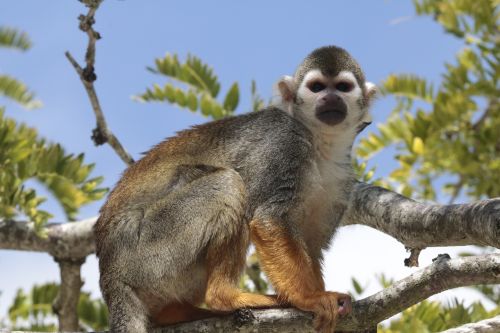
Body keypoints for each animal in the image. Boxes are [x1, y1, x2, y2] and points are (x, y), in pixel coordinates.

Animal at [94, 45, 376, 330]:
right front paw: (308, 298)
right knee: (228, 184)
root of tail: (110, 275)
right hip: (147, 253)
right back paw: (224, 297)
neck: (320, 142)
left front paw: (319, 295)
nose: (330, 98)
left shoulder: (342, 179)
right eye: (317, 87)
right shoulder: (284, 143)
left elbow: (311, 243)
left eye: (342, 87)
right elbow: (268, 220)